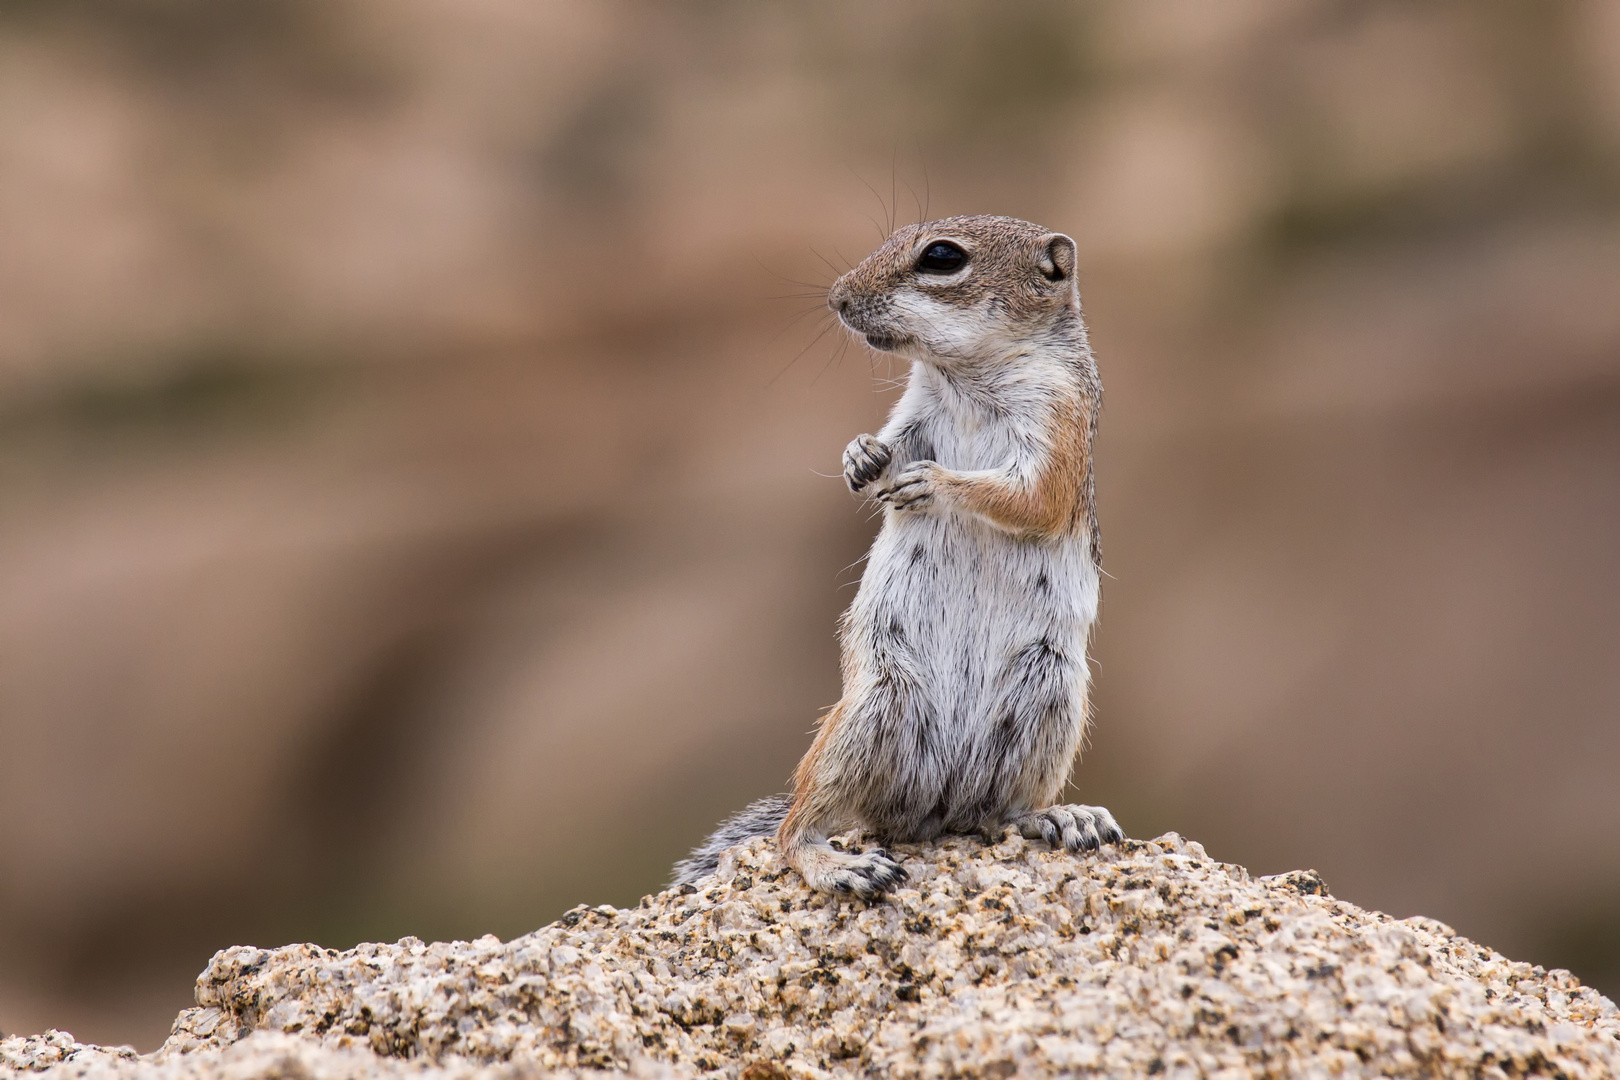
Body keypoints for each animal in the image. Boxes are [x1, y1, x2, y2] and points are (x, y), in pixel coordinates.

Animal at [677, 215, 1121, 900]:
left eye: (941, 257)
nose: (836, 297)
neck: (965, 376)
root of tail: (937, 814)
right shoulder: (914, 413)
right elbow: (891, 443)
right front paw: (860, 456)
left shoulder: (1059, 421)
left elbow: (1031, 497)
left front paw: (932, 482)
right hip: (872, 710)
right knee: (796, 828)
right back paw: (845, 862)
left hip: (1048, 700)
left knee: (1003, 811)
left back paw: (1061, 817)